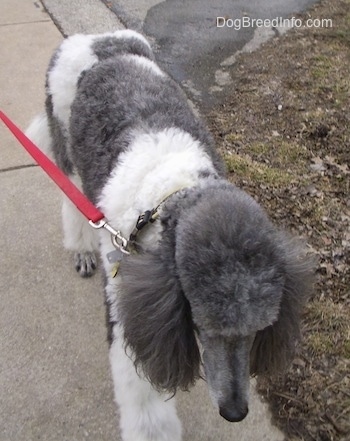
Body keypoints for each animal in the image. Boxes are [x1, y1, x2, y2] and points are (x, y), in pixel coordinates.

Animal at [26, 31, 314, 440]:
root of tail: (99, 40)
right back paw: (81, 249)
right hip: (65, 142)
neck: (170, 193)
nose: (235, 411)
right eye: (203, 326)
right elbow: (145, 406)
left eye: (258, 329)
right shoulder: (129, 305)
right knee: (71, 198)